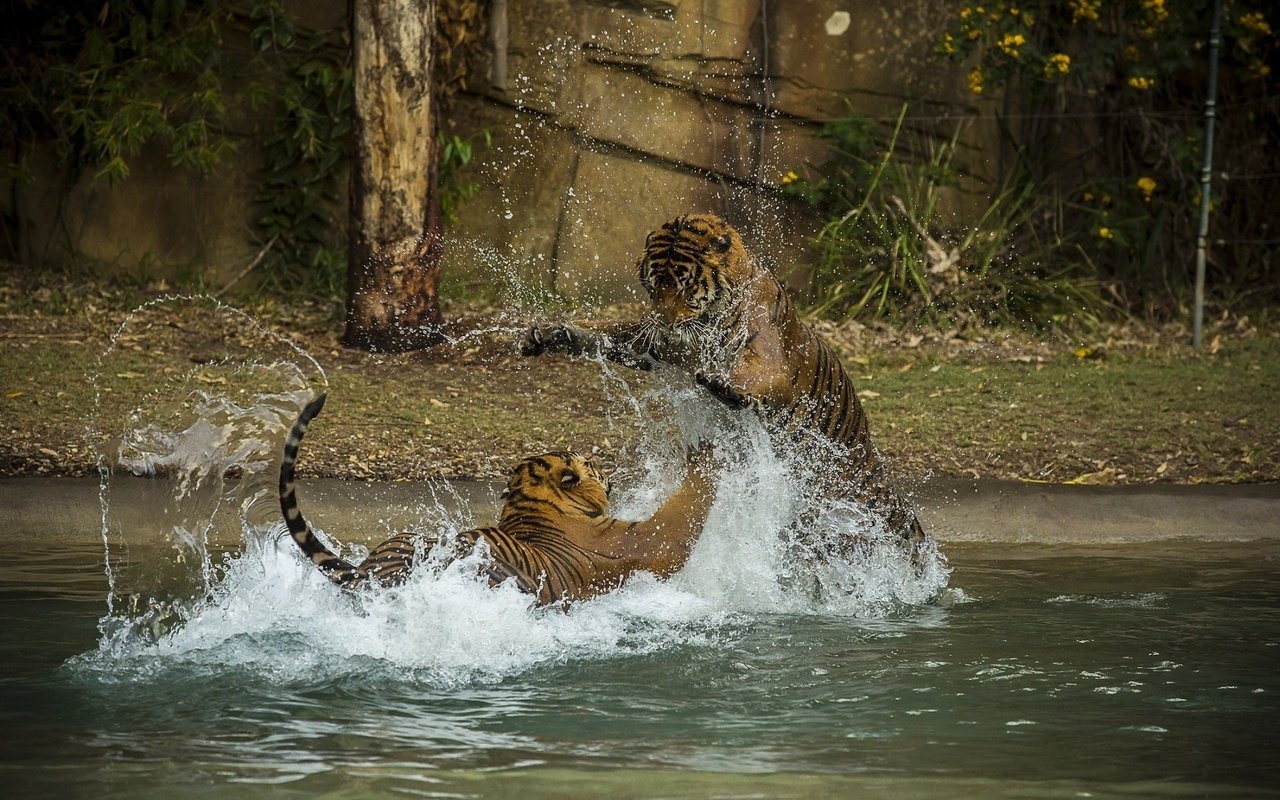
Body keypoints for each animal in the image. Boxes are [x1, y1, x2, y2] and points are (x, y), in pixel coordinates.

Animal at [280, 394, 721, 604]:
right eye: (592, 463)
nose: (607, 473)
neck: (533, 506)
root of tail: (370, 574)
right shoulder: (645, 539)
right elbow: (682, 511)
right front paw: (707, 451)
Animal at [519, 211, 931, 555]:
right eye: (653, 287)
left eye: (684, 287)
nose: (665, 323)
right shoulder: (658, 344)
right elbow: (611, 334)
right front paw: (552, 335)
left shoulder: (771, 359)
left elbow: (753, 375)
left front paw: (721, 382)